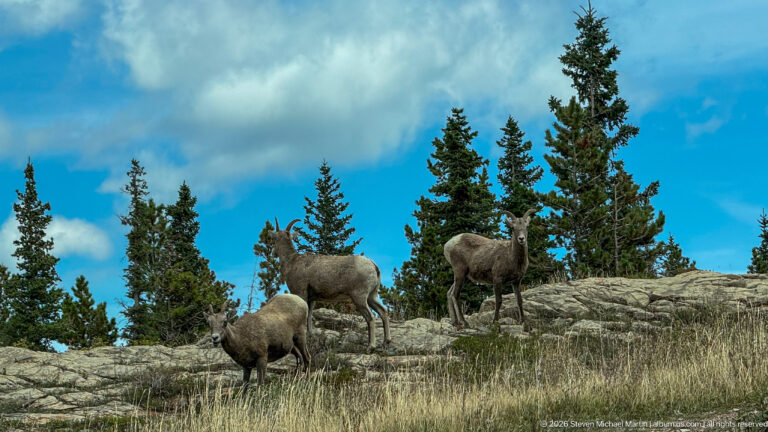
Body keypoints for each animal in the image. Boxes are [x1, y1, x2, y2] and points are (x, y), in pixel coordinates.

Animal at [270, 218, 391, 351]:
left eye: (274, 239)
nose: (273, 253)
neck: (291, 262)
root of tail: (373, 266)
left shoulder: (301, 293)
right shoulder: (311, 298)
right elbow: (309, 314)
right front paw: (311, 333)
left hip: (359, 297)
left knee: (370, 317)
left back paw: (370, 347)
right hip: (372, 296)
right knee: (383, 312)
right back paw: (386, 342)